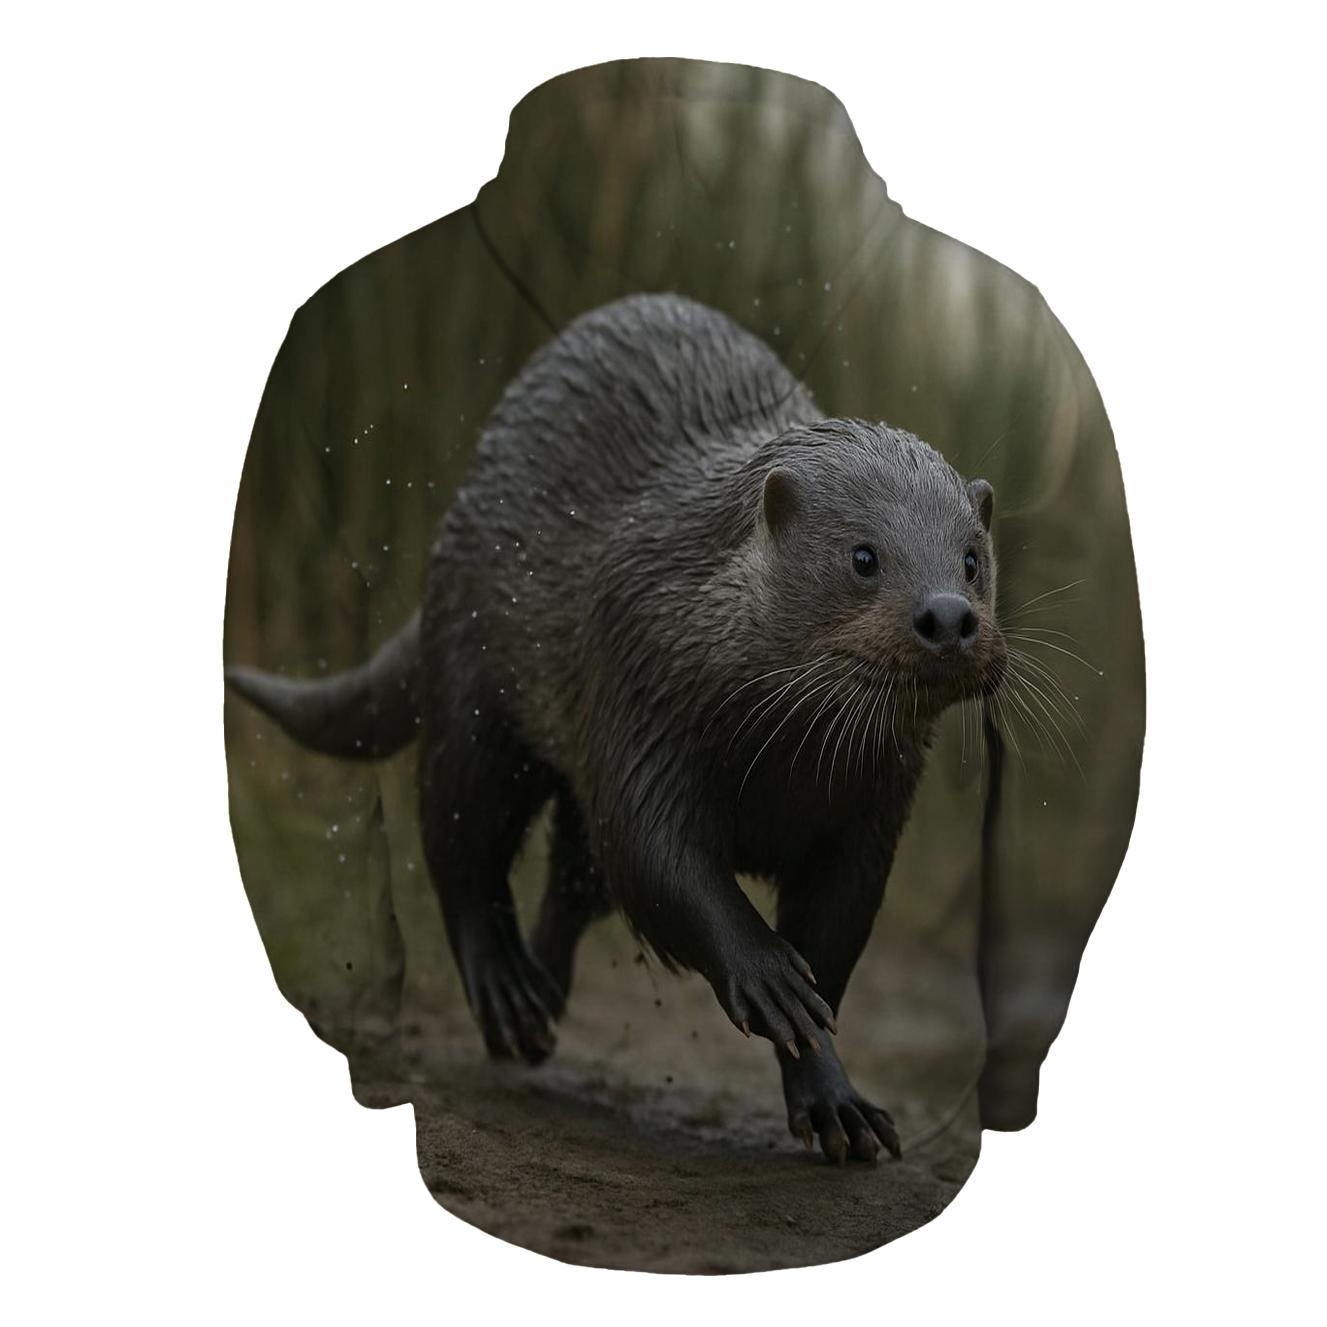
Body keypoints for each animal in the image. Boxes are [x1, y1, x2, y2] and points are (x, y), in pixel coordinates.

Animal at [226, 293, 1006, 1165]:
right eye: (863, 556)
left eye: (972, 557)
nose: (948, 616)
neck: (781, 766)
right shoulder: (641, 680)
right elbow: (656, 855)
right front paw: (767, 972)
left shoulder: (871, 809)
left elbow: (833, 940)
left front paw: (837, 1103)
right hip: (475, 682)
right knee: (461, 837)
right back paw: (506, 990)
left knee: (571, 877)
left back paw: (541, 1000)